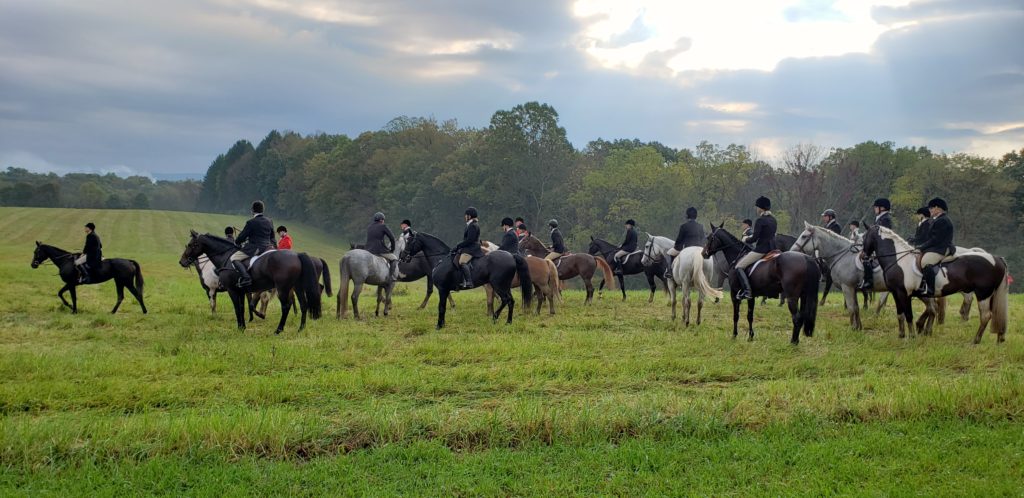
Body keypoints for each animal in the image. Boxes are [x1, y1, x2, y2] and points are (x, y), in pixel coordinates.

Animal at [177, 231, 319, 332]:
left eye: (191, 245)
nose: (182, 261)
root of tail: (296, 255)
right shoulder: (240, 291)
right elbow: (242, 307)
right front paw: (243, 326)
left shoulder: (225, 290)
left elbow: (233, 307)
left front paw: (239, 328)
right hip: (297, 287)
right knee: (303, 304)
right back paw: (301, 328)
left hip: (282, 288)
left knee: (286, 306)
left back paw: (278, 330)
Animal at [399, 230, 532, 329]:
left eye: (409, 241)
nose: (402, 257)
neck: (440, 259)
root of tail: (511, 256)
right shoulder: (445, 290)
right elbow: (444, 306)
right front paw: (442, 324)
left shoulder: (442, 289)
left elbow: (441, 307)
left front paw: (439, 326)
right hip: (504, 285)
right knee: (510, 301)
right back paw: (508, 322)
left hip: (498, 285)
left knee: (506, 300)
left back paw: (495, 318)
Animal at [786, 222, 937, 332]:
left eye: (804, 236)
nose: (792, 251)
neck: (843, 255)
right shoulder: (853, 288)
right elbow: (856, 308)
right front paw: (858, 327)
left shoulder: (847, 287)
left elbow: (851, 308)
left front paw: (853, 328)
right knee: (931, 307)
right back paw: (924, 328)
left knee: (931, 307)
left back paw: (923, 328)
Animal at [860, 225, 1003, 342]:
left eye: (864, 237)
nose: (862, 256)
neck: (898, 260)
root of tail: (996, 258)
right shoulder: (896, 293)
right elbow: (900, 314)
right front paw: (901, 335)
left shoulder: (904, 293)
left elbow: (909, 314)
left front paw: (912, 336)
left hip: (983, 294)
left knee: (985, 315)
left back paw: (975, 340)